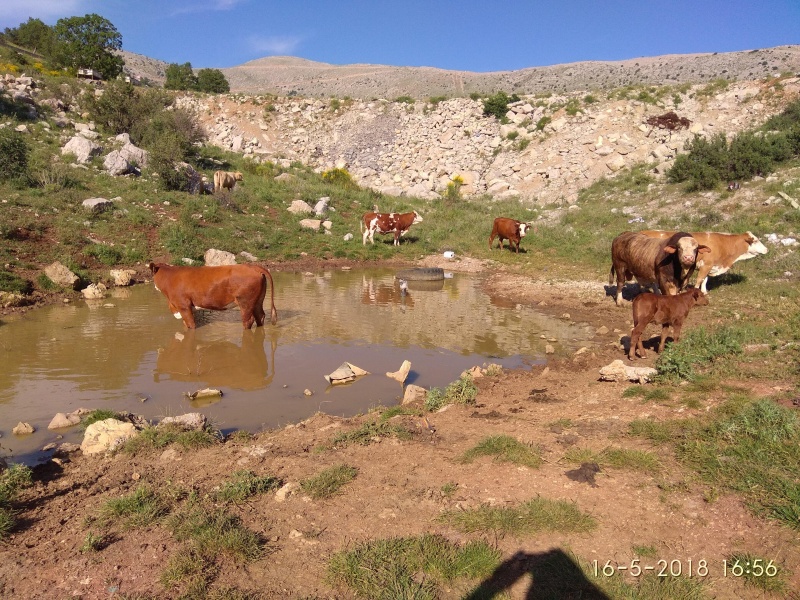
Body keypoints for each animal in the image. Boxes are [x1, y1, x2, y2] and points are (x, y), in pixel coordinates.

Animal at [149, 262, 278, 328]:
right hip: (258, 300)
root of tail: (253, 266)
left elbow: (191, 325)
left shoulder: (183, 306)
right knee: (260, 316)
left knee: (248, 320)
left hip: (245, 301)